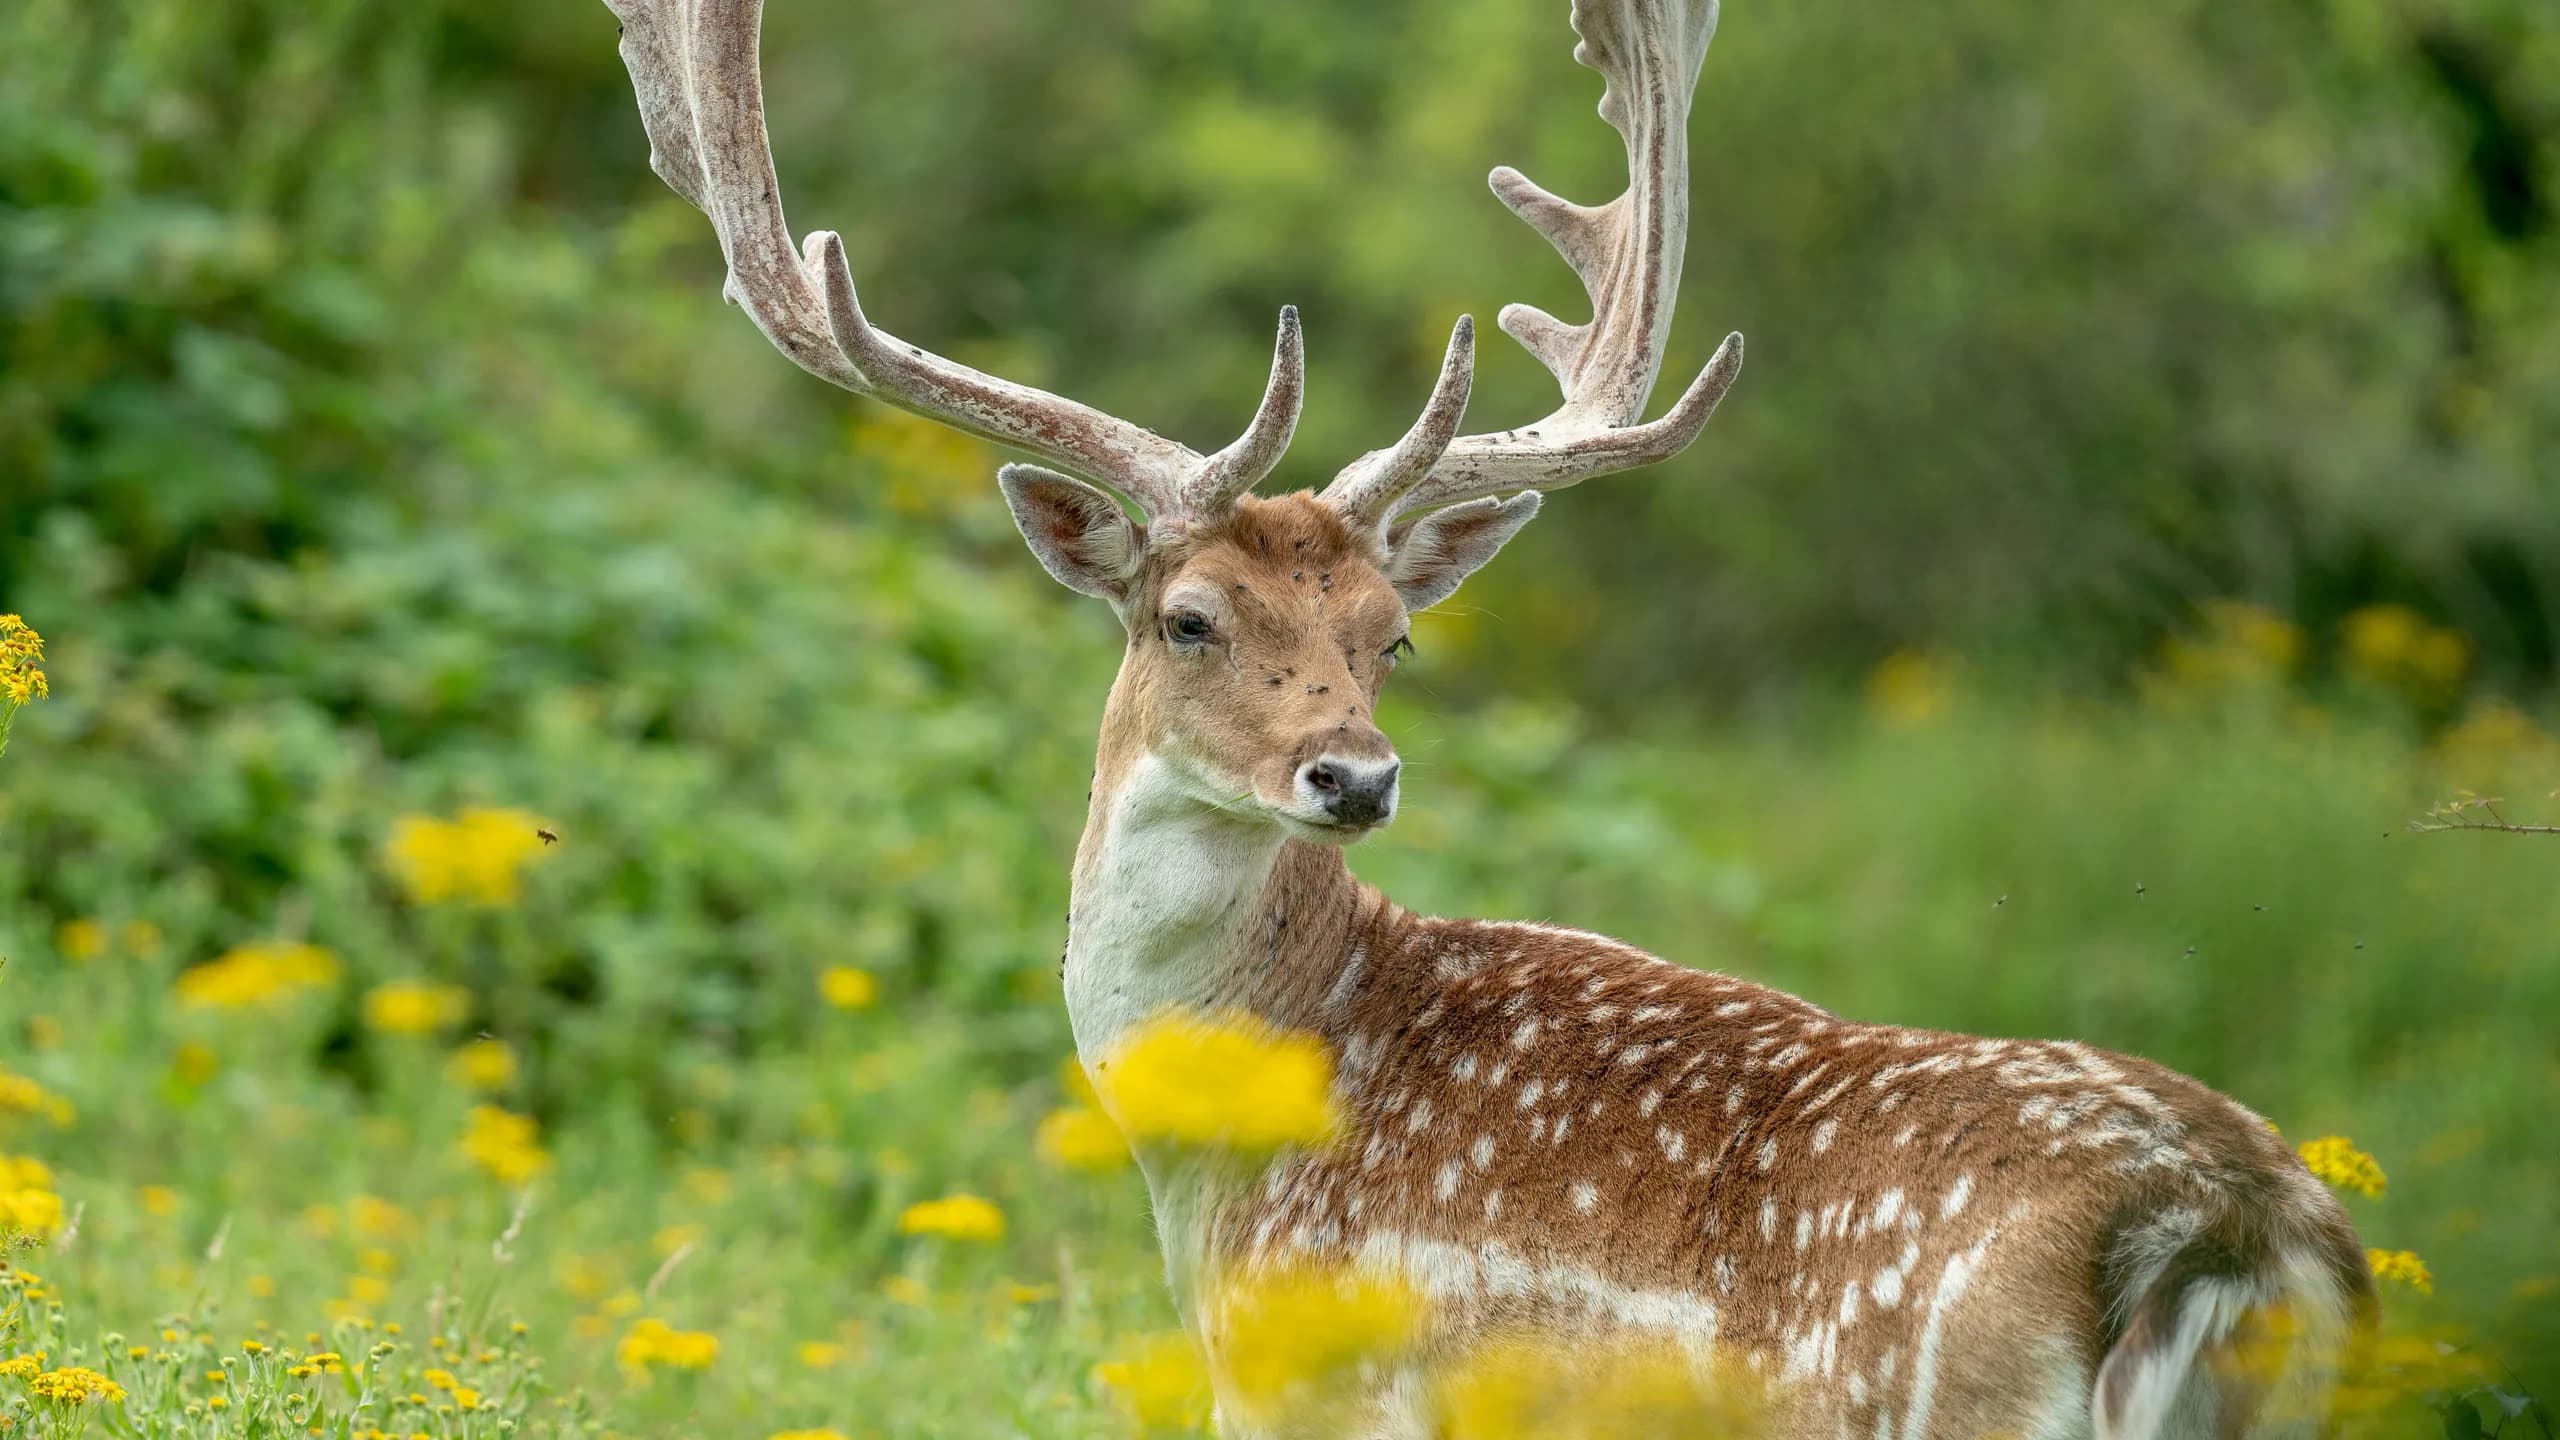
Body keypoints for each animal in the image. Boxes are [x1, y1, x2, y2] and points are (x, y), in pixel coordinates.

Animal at [602, 1, 2374, 1434]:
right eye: (1191, 618)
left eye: (1390, 639)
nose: (1354, 776)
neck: (1223, 1158)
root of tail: (2221, 1236)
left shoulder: (1309, 1382)